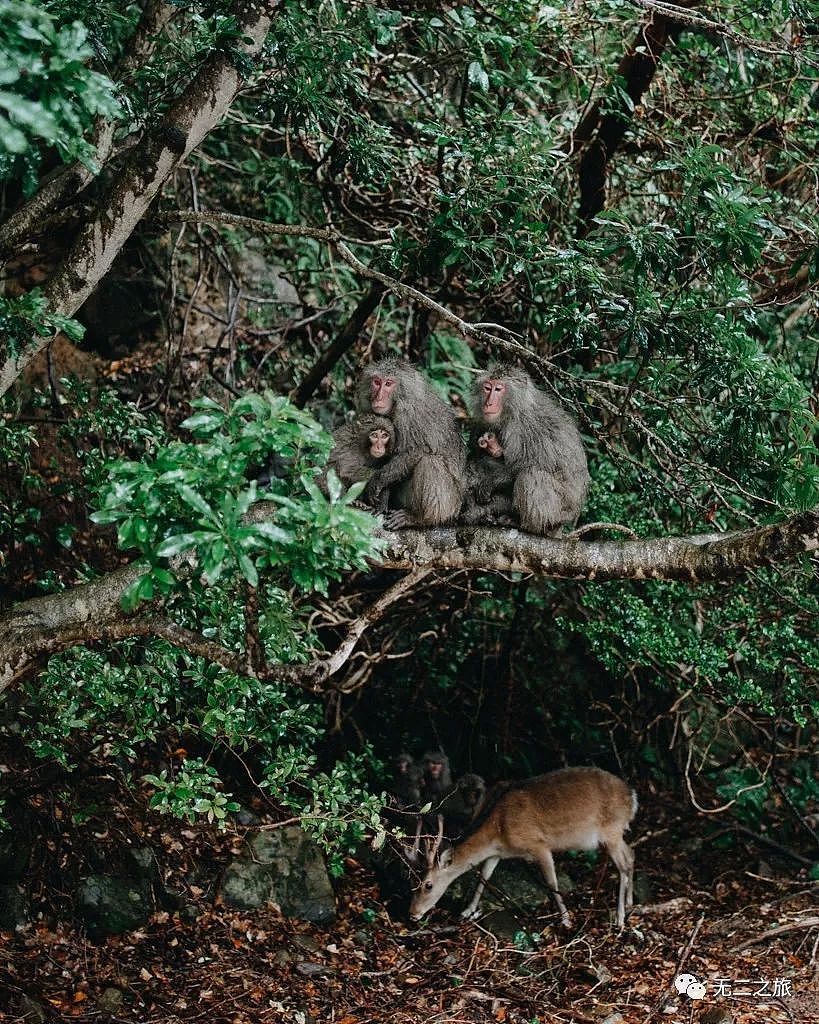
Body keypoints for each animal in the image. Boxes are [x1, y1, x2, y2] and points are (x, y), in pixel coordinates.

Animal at [354, 358, 464, 528]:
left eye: (388, 384)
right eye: (377, 382)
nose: (378, 397)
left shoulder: (409, 414)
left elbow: (418, 450)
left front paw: (377, 481)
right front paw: (380, 500)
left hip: (450, 506)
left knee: (429, 461)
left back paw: (418, 517)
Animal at [413, 770, 634, 929]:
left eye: (428, 885)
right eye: (413, 882)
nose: (412, 913)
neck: (498, 828)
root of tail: (632, 798)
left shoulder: (538, 845)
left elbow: (551, 882)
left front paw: (566, 920)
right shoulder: (497, 853)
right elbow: (484, 876)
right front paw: (467, 911)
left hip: (611, 830)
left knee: (623, 866)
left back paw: (620, 918)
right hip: (617, 833)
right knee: (631, 854)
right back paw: (630, 902)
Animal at [460, 362, 589, 536]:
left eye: (498, 389)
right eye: (487, 388)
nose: (488, 403)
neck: (514, 409)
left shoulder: (521, 428)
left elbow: (528, 464)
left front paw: (492, 482)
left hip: (560, 511)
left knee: (531, 475)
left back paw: (526, 525)